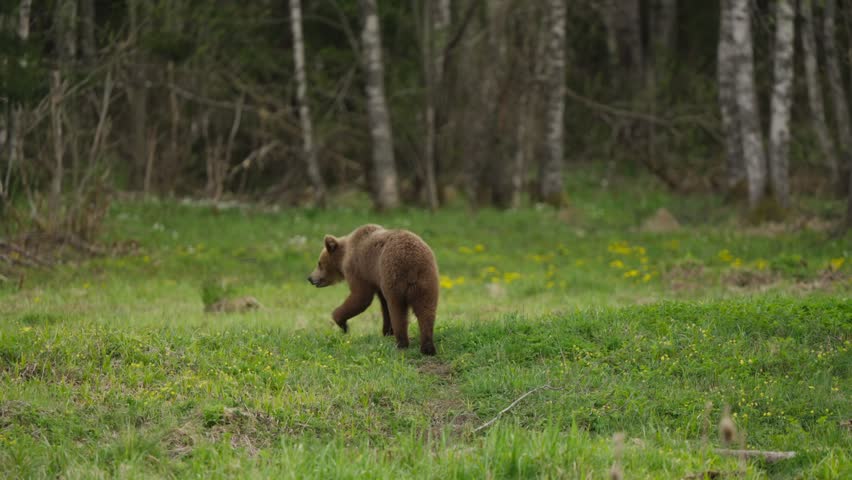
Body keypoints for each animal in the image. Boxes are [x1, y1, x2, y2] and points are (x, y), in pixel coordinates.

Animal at [307, 224, 439, 355]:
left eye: (319, 263)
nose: (310, 278)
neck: (344, 256)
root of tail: (412, 263)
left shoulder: (359, 269)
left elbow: (360, 297)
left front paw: (342, 323)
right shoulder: (377, 280)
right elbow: (383, 303)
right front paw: (387, 331)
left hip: (393, 276)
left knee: (398, 310)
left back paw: (401, 343)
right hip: (426, 280)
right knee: (426, 311)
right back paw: (428, 347)